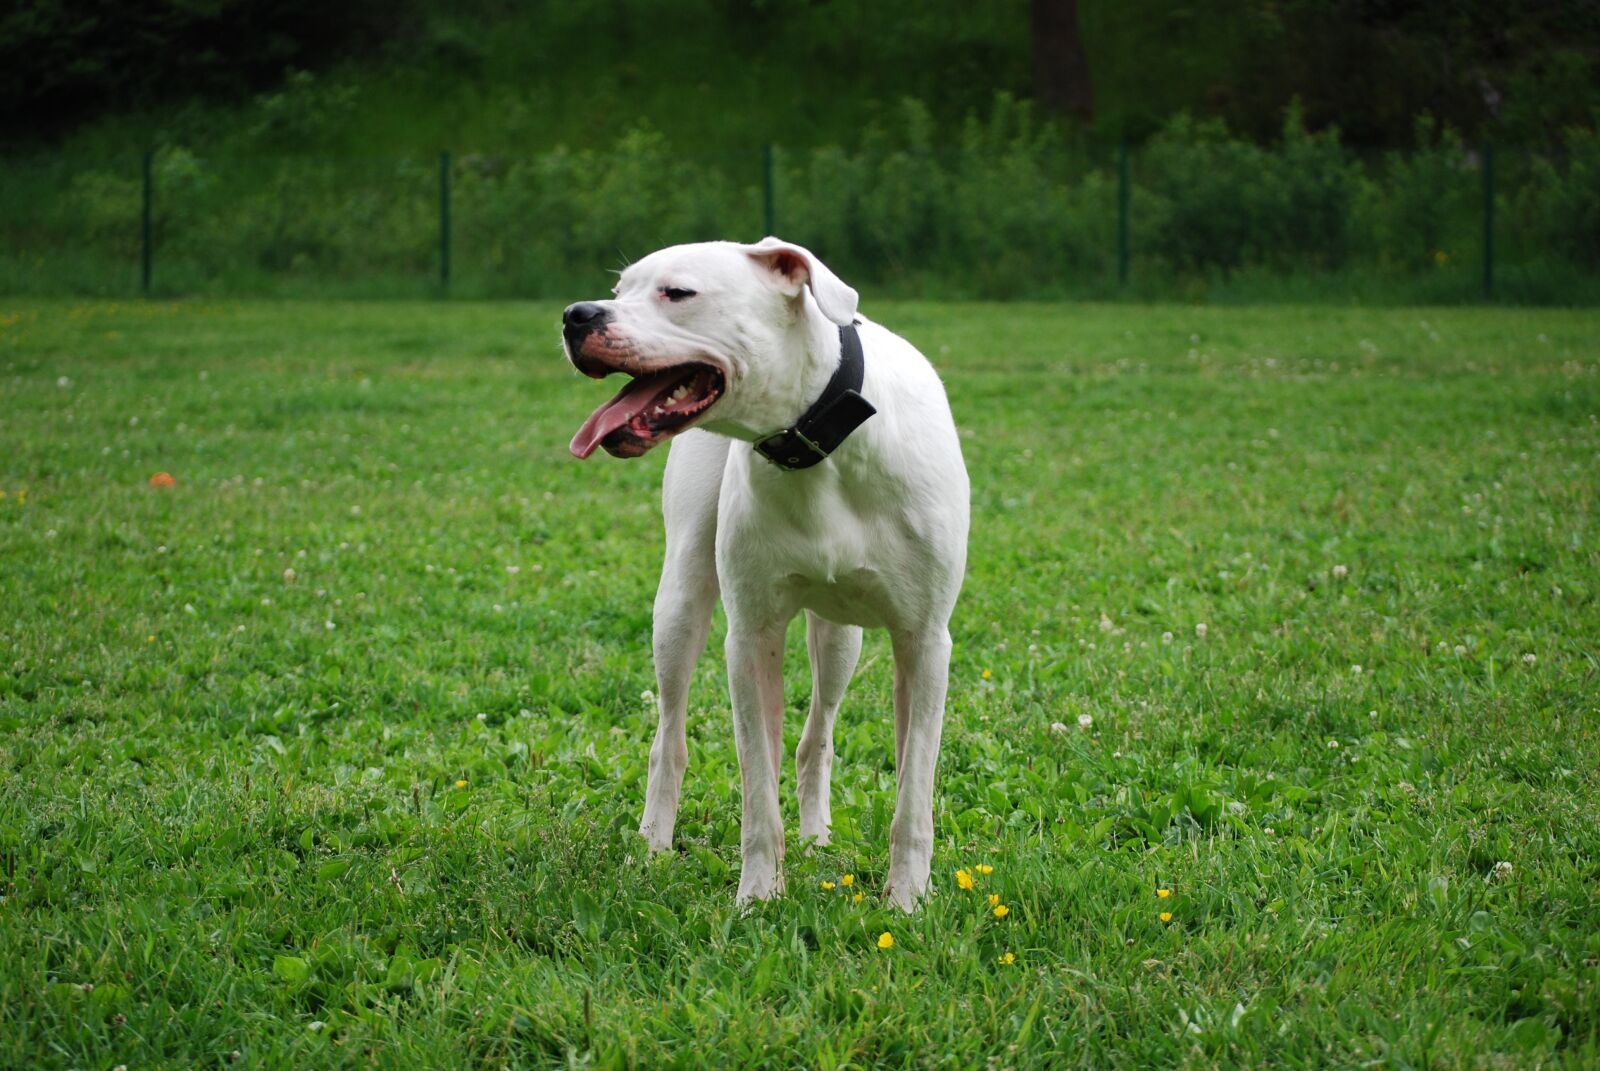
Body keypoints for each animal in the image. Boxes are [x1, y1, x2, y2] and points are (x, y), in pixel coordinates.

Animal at [563, 238, 960, 909]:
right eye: (619, 291)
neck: (818, 444)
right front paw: (757, 897)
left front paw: (906, 901)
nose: (576, 314)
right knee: (669, 737)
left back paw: (817, 838)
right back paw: (653, 845)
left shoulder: (925, 643)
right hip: (679, 604)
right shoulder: (750, 639)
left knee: (815, 737)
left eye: (678, 292)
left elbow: (913, 794)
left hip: (842, 639)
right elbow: (756, 787)